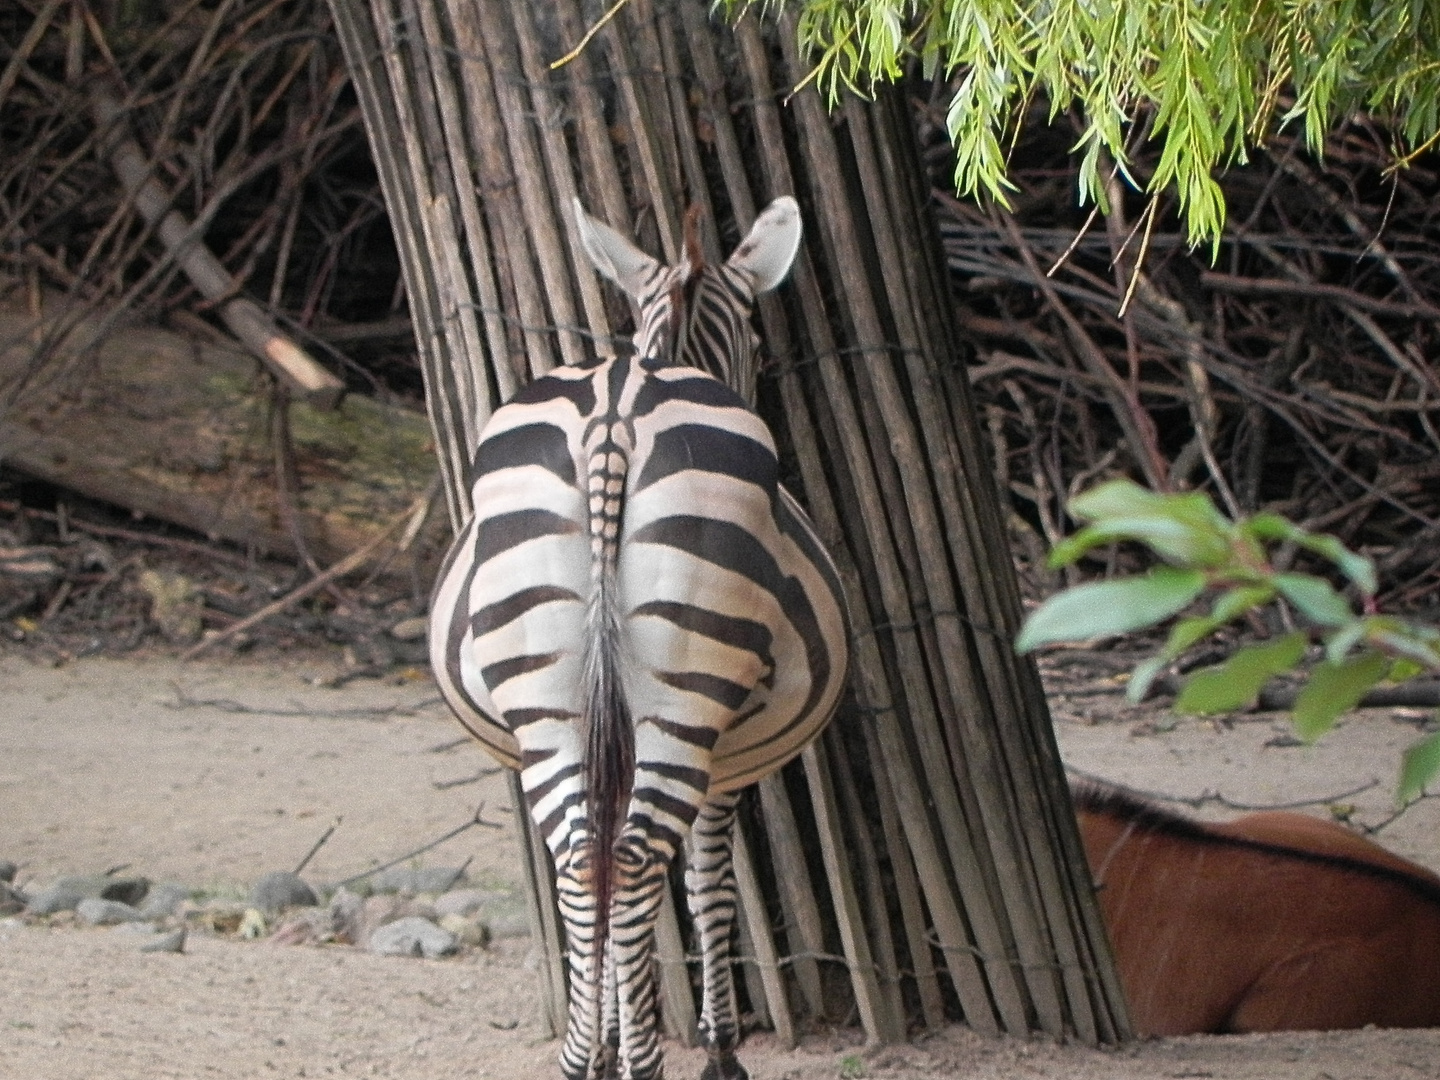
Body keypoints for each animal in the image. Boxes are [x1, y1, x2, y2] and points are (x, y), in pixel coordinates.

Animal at [432, 197, 846, 1080]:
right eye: (759, 345)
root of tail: (614, 410)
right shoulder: (724, 765)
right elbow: (709, 882)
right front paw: (718, 1049)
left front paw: (614, 1036)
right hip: (686, 698)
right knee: (632, 861)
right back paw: (647, 1062)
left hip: (548, 699)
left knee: (586, 862)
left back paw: (581, 1059)